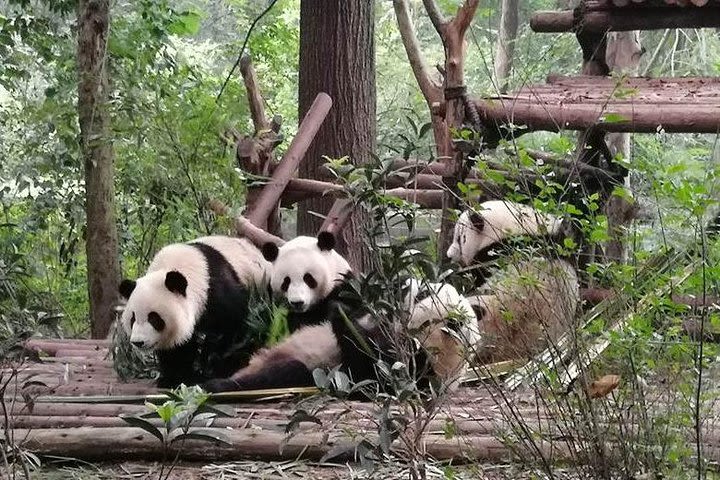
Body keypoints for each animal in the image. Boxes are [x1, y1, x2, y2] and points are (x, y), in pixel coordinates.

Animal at [118, 234, 270, 388]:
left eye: (154, 318)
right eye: (133, 318)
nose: (138, 342)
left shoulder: (218, 290)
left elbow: (234, 325)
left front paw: (215, 367)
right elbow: (178, 347)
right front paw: (174, 378)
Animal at [202, 232, 480, 394]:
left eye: (422, 296)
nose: (404, 284)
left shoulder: (416, 367)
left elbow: (367, 369)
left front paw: (341, 314)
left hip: (307, 371)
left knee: (284, 373)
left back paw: (218, 384)